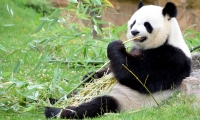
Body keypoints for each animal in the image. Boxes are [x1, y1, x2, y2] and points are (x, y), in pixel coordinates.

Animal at [44, 0, 191, 119]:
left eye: (147, 25)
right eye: (133, 23)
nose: (134, 32)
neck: (167, 39)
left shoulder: (171, 57)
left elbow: (139, 76)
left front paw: (115, 46)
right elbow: (110, 70)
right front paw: (90, 76)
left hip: (125, 101)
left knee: (99, 104)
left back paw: (58, 111)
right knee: (73, 94)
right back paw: (52, 101)